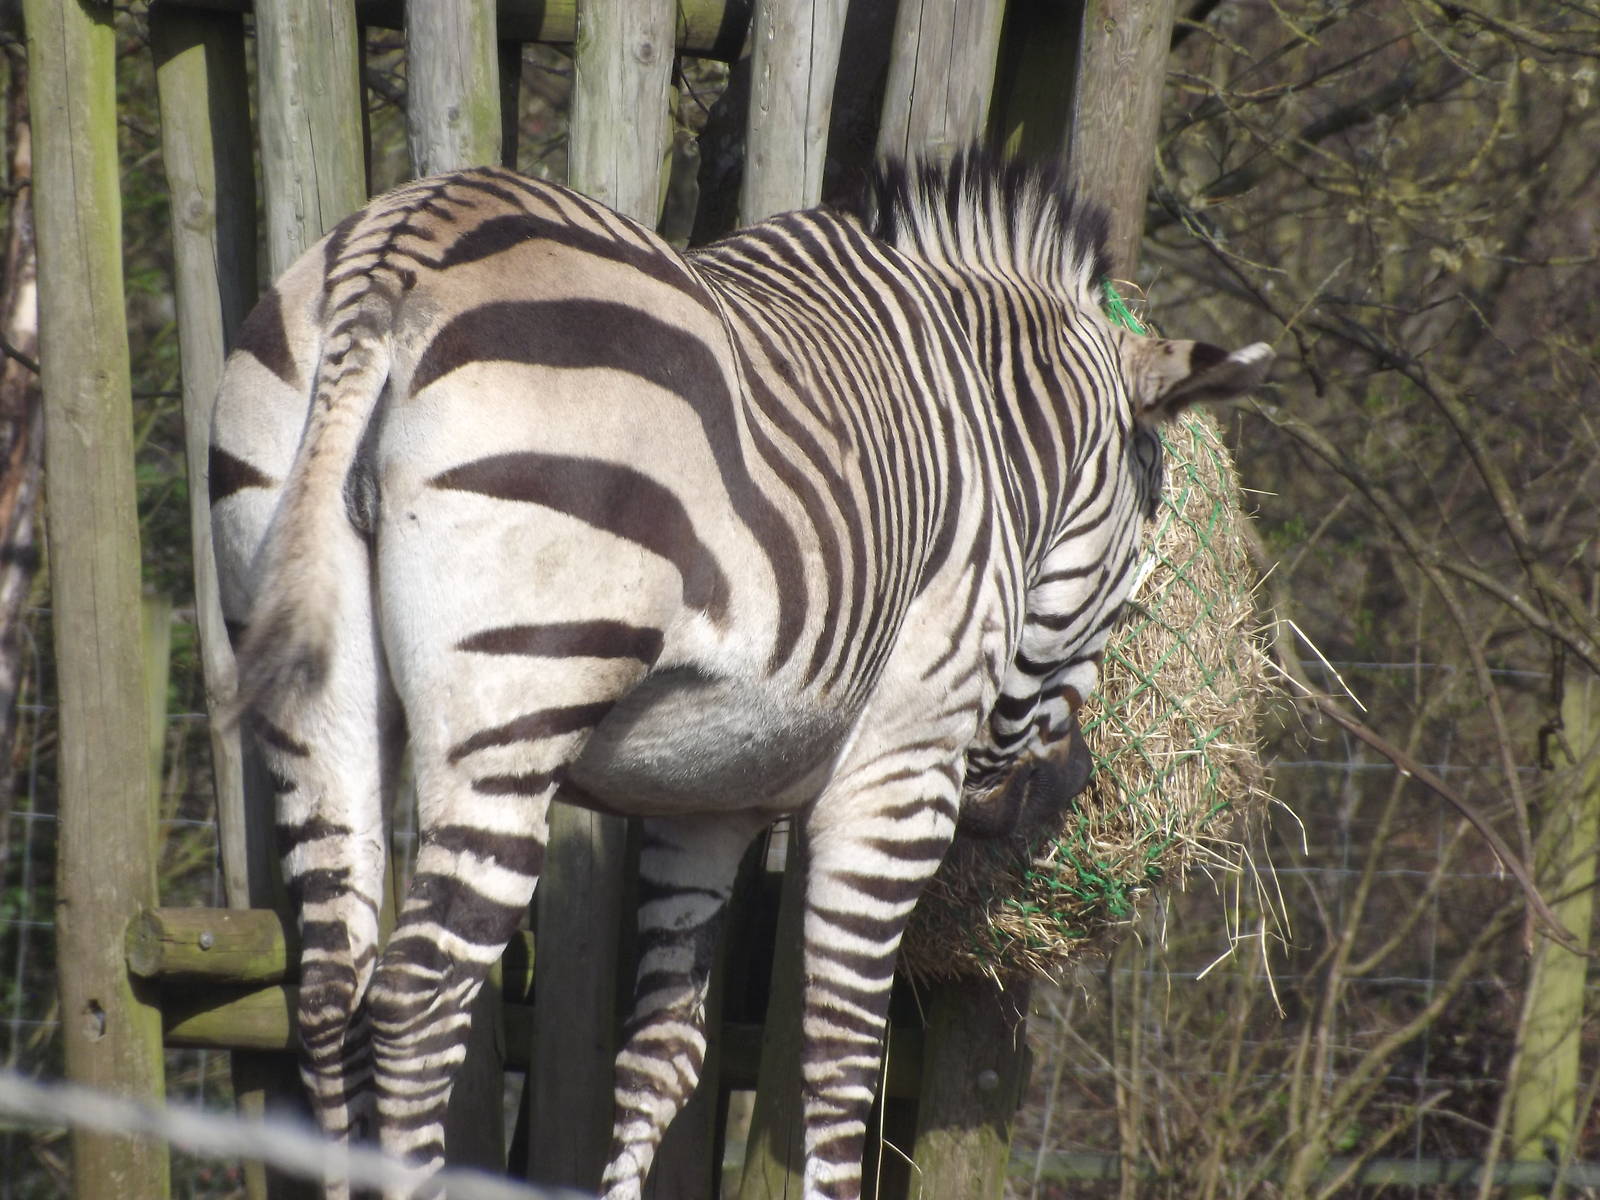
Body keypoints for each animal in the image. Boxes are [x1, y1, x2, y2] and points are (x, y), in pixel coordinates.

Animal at [211, 152, 1271, 1199]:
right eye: (1133, 575)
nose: (1072, 788)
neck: (990, 427)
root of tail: (403, 246)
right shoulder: (902, 770)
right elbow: (841, 1062)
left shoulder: (702, 801)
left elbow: (662, 1053)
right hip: (519, 700)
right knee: (415, 1005)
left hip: (318, 703)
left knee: (329, 998)